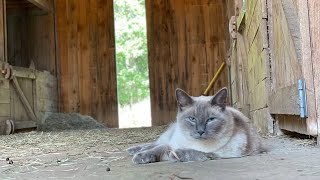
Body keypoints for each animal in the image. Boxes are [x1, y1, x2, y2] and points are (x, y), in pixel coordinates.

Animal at [127, 88, 264, 164]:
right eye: (192, 119)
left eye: (210, 120)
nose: (200, 131)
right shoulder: (171, 143)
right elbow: (158, 149)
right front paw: (141, 157)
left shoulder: (219, 154)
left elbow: (196, 152)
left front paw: (175, 154)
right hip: (168, 136)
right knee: (155, 143)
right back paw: (133, 150)